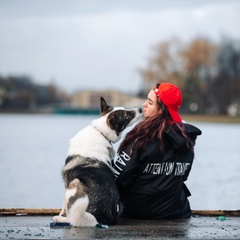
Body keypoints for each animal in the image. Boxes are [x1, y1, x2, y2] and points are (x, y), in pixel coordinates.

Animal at [53, 96, 142, 226]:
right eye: (126, 114)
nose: (140, 109)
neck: (100, 132)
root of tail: (98, 218)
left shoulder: (67, 181)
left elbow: (64, 205)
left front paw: (60, 215)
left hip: (74, 183)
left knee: (73, 218)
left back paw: (59, 219)